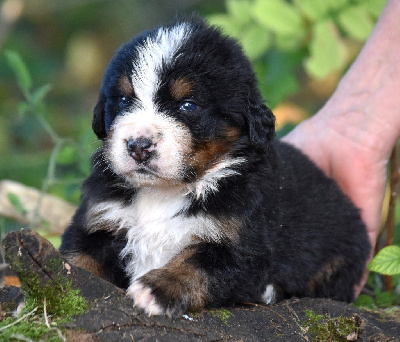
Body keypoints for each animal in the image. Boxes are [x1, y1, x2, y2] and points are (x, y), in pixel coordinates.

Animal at [60, 16, 372, 316]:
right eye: (124, 100)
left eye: (188, 105)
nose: (138, 145)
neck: (166, 191)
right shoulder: (98, 220)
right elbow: (78, 258)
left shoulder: (243, 243)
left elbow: (196, 265)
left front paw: (156, 289)